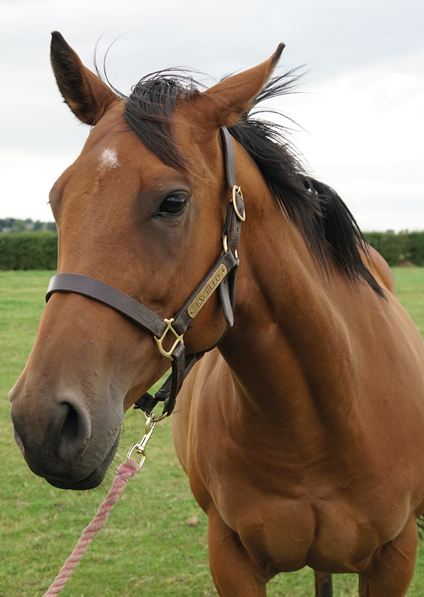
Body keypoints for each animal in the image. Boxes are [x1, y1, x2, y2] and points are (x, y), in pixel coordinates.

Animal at [8, 32, 424, 596]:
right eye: (56, 199)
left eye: (173, 202)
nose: (42, 422)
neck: (321, 426)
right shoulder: (230, 556)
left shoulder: (394, 558)